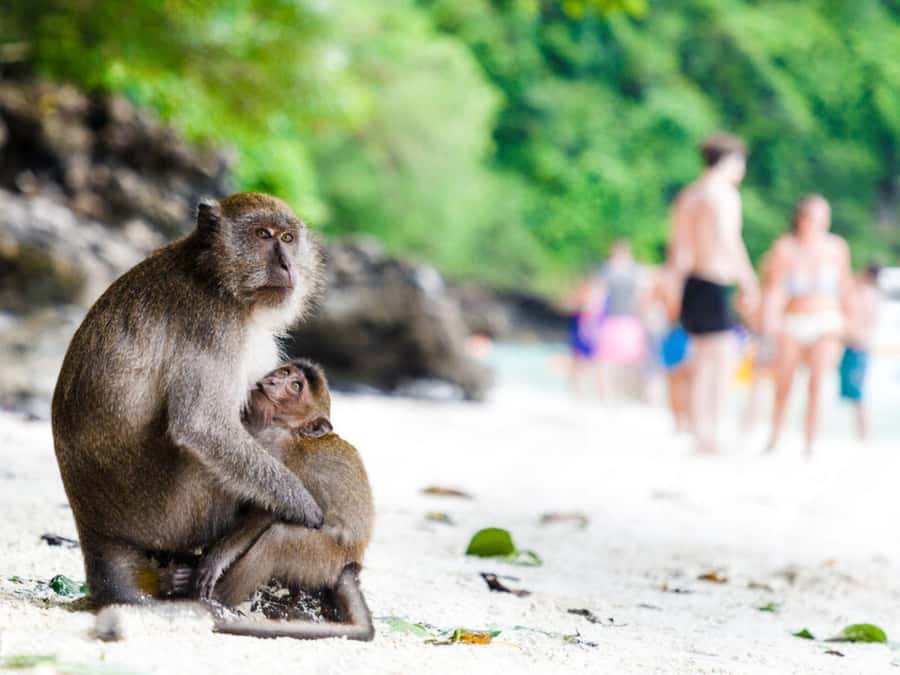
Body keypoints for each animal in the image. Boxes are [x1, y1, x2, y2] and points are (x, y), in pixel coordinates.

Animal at [52, 193, 326, 607]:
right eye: (263, 235)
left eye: (288, 238)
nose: (286, 264)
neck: (215, 276)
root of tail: (92, 525)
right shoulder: (213, 325)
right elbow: (202, 425)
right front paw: (300, 502)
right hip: (170, 516)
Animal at [167, 358, 375, 641]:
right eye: (285, 372)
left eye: (296, 386)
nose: (273, 381)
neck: (286, 428)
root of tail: (353, 562)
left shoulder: (278, 450)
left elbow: (273, 509)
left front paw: (215, 559)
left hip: (325, 558)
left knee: (278, 540)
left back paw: (214, 598)